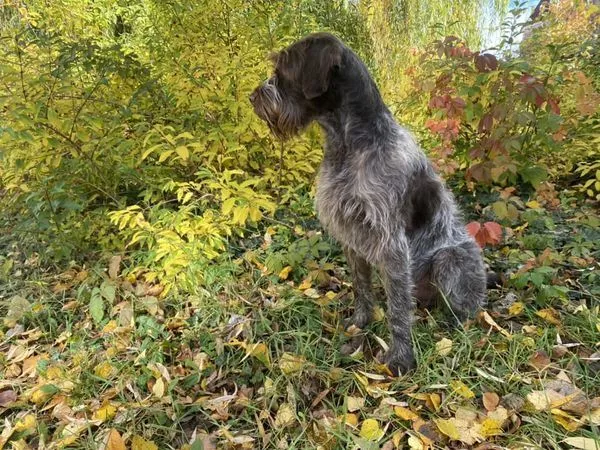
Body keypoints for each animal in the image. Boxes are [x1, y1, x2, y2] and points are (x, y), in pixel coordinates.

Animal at [248, 32, 488, 376]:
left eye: (282, 69)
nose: (252, 97)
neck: (348, 144)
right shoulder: (351, 233)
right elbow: (361, 287)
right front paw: (360, 323)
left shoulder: (391, 242)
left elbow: (398, 309)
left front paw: (400, 359)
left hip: (450, 259)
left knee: (465, 309)